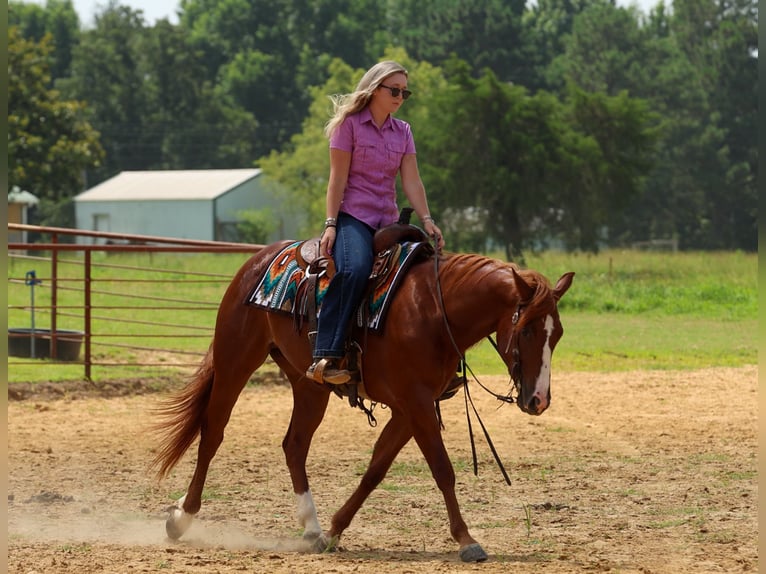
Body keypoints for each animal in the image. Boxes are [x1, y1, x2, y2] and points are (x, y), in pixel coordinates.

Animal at [151, 237, 574, 562]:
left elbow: (375, 469)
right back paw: (181, 518)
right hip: (235, 361)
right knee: (213, 433)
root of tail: (258, 260)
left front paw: (333, 532)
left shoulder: (408, 409)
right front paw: (467, 540)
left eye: (557, 333)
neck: (433, 311)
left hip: (308, 385)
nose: (539, 400)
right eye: (527, 329)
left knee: (294, 445)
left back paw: (311, 527)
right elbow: (442, 469)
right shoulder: (417, 404)